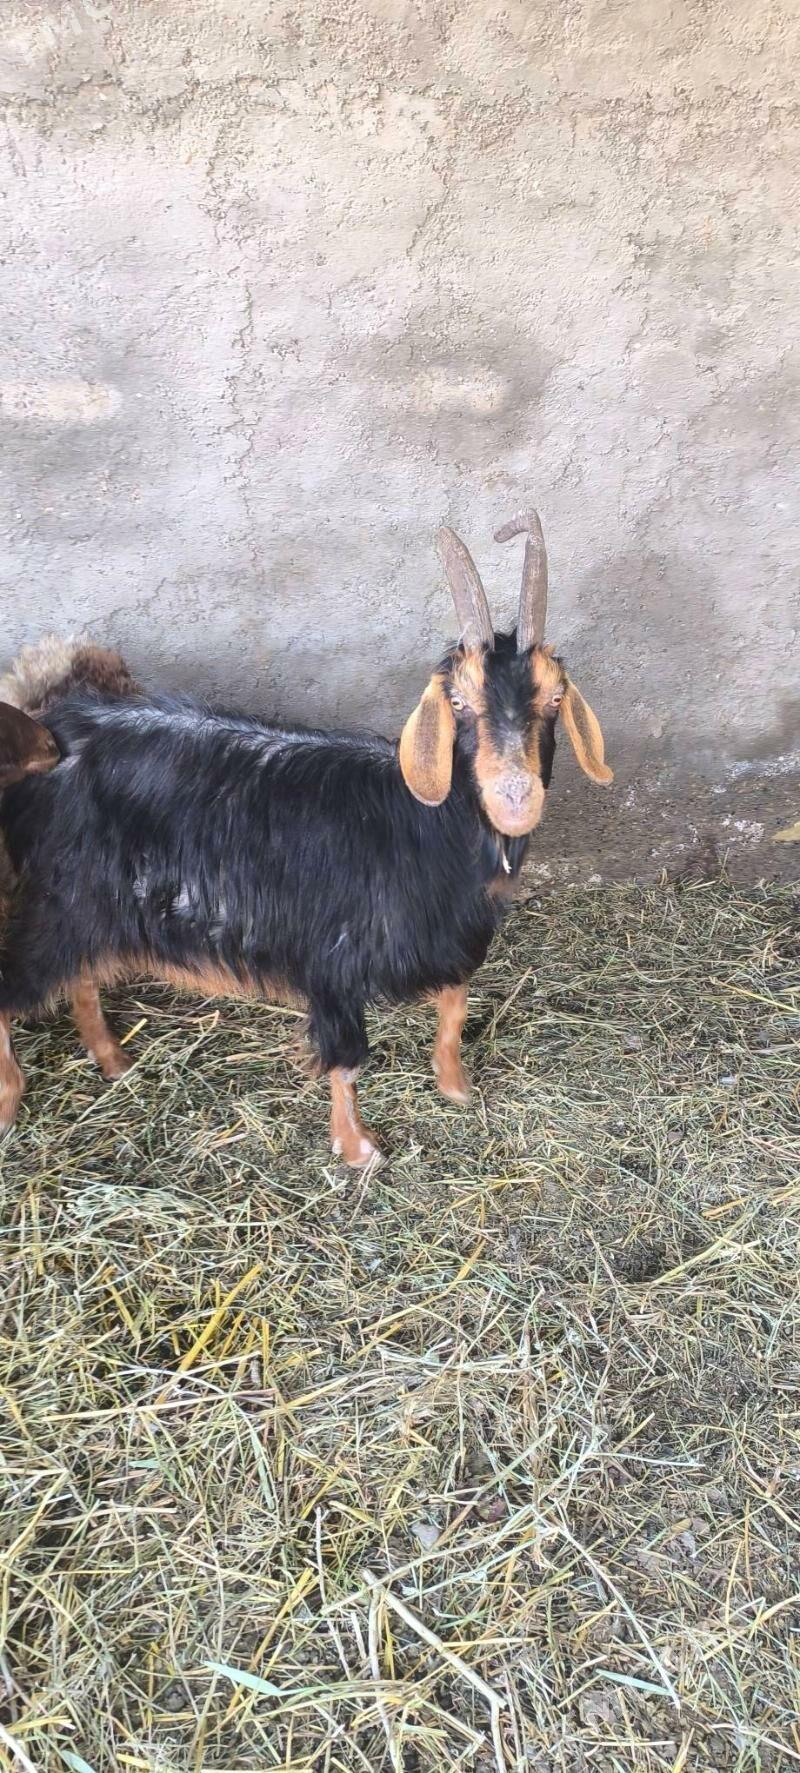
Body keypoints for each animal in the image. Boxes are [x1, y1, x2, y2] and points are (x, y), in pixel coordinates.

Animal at [0, 515, 612, 1162]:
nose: (516, 796)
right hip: (61, 896)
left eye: (554, 697)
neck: (420, 826)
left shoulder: (444, 937)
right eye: (458, 701)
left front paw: (454, 1085)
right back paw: (13, 1101)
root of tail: (53, 724)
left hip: (89, 905)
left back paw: (116, 1061)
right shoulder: (332, 954)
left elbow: (455, 1005)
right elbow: (347, 1057)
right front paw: (358, 1149)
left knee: (80, 976)